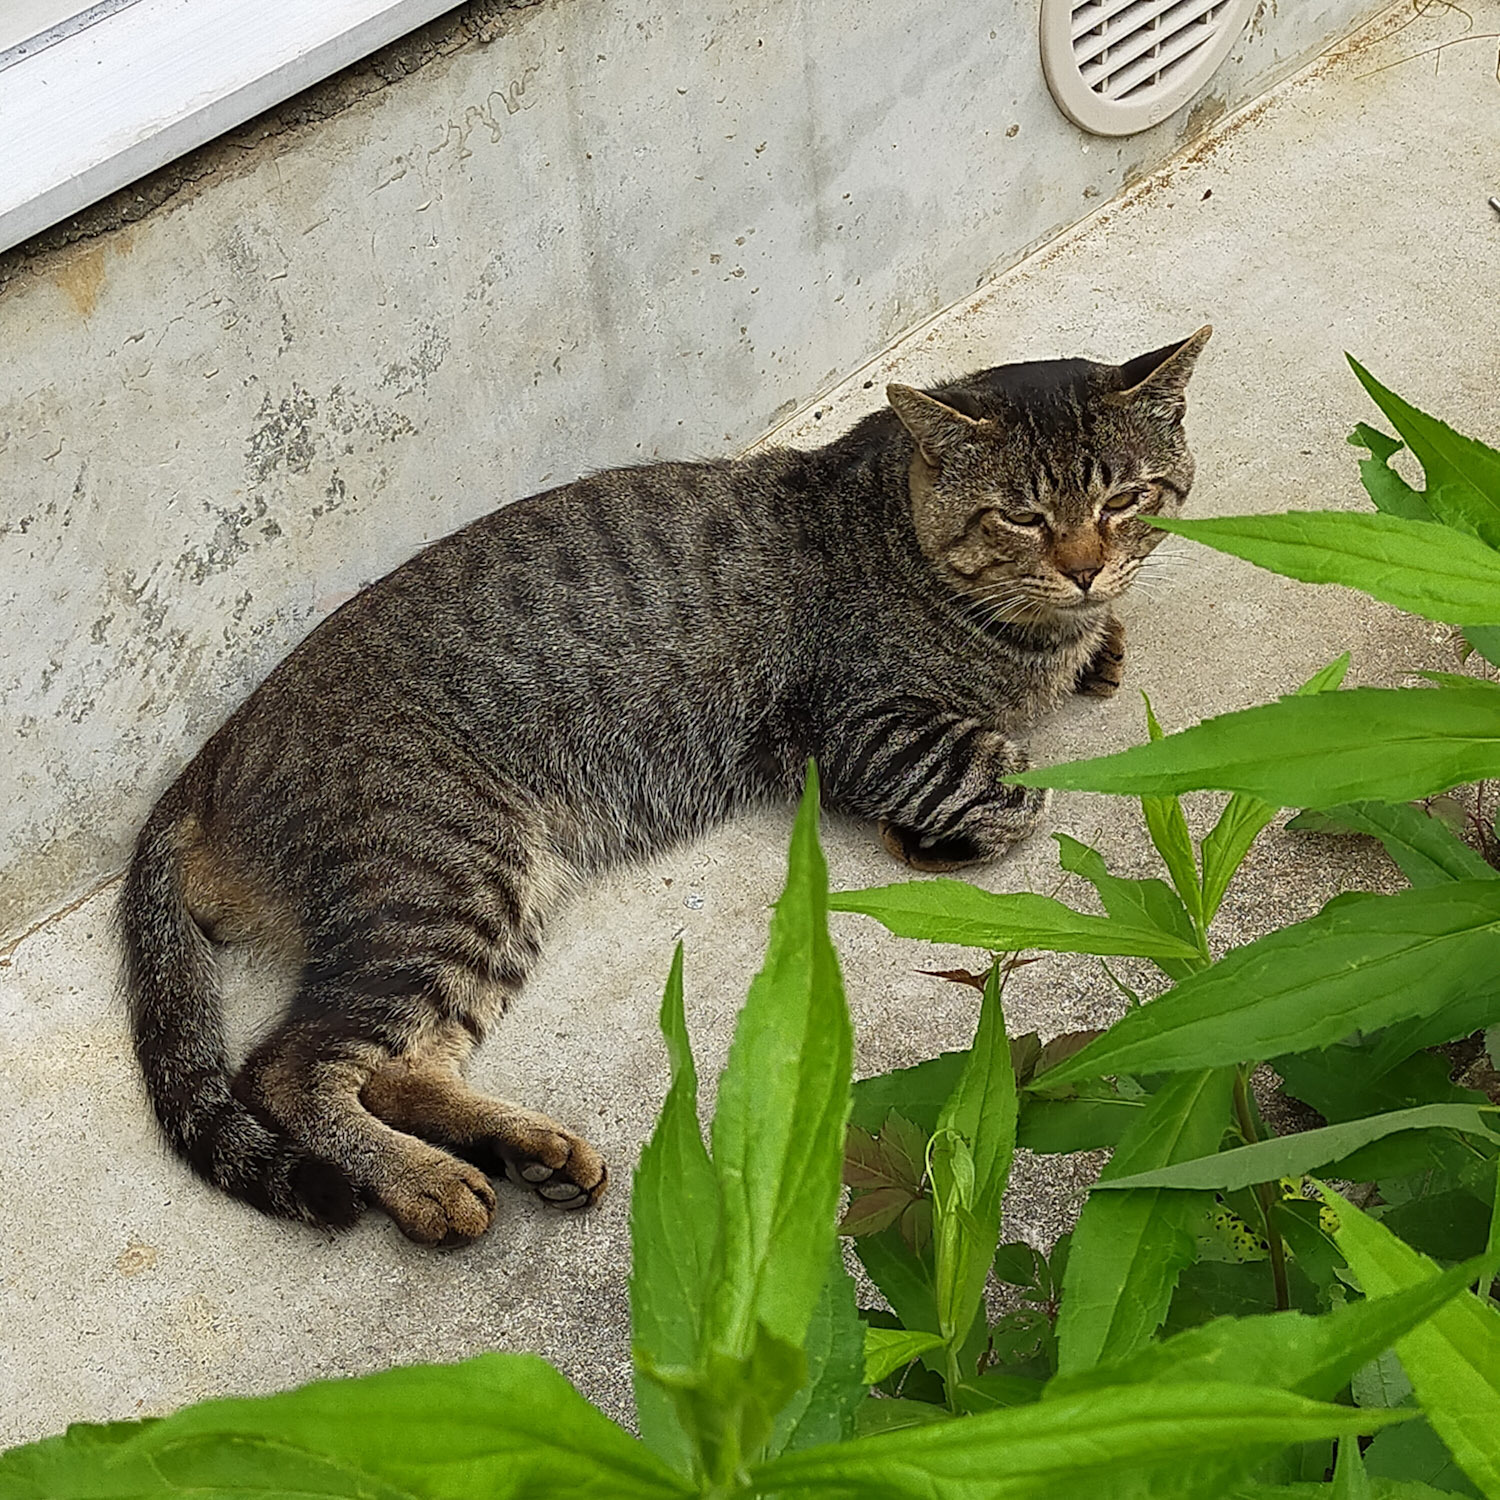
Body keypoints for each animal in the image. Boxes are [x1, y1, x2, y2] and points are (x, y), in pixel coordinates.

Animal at [120, 327, 1209, 1246]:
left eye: (1125, 500)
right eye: (1021, 516)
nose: (1085, 568)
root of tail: (208, 762)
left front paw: (1099, 648)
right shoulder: (866, 728)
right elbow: (1020, 786)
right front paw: (946, 826)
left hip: (491, 904)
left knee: (396, 1066)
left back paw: (524, 1151)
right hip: (443, 871)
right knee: (290, 1068)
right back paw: (426, 1182)